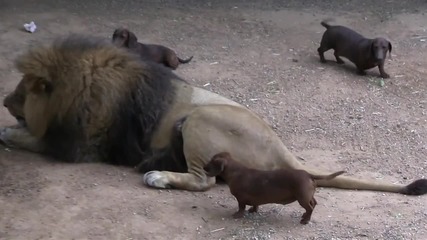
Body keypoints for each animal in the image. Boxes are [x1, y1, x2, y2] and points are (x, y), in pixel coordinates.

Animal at [0, 34, 427, 196]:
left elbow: (27, 136)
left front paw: (7, 131)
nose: (5, 101)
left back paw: (157, 176)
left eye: (23, 89)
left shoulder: (82, 144)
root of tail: (282, 151)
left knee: (203, 181)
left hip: (199, 121)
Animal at [202, 153, 346, 224]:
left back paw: (305, 220)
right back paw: (305, 216)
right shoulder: (254, 198)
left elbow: (241, 207)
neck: (235, 171)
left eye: (211, 161)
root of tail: (308, 174)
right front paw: (253, 210)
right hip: (307, 196)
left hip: (302, 198)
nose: (203, 167)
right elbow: (254, 204)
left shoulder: (240, 199)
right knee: (314, 204)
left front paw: (237, 215)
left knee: (310, 208)